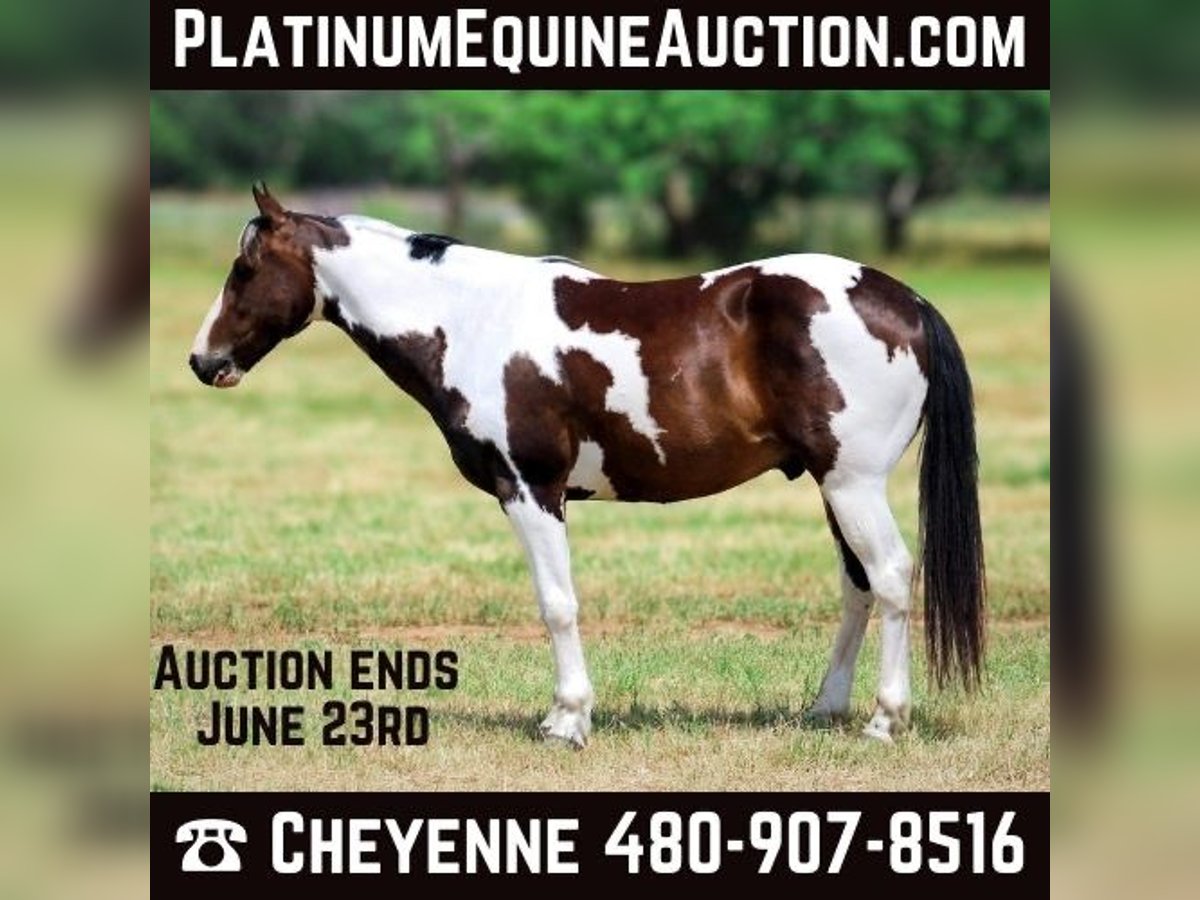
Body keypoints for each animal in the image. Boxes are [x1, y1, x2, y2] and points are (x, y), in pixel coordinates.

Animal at [188, 185, 985, 747]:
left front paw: (567, 720)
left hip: (854, 485)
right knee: (857, 585)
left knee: (890, 578)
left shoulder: (530, 489)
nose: (203, 361)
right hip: (833, 486)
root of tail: (906, 300)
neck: (471, 319)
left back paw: (884, 721)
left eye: (245, 268)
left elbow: (558, 604)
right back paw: (825, 709)